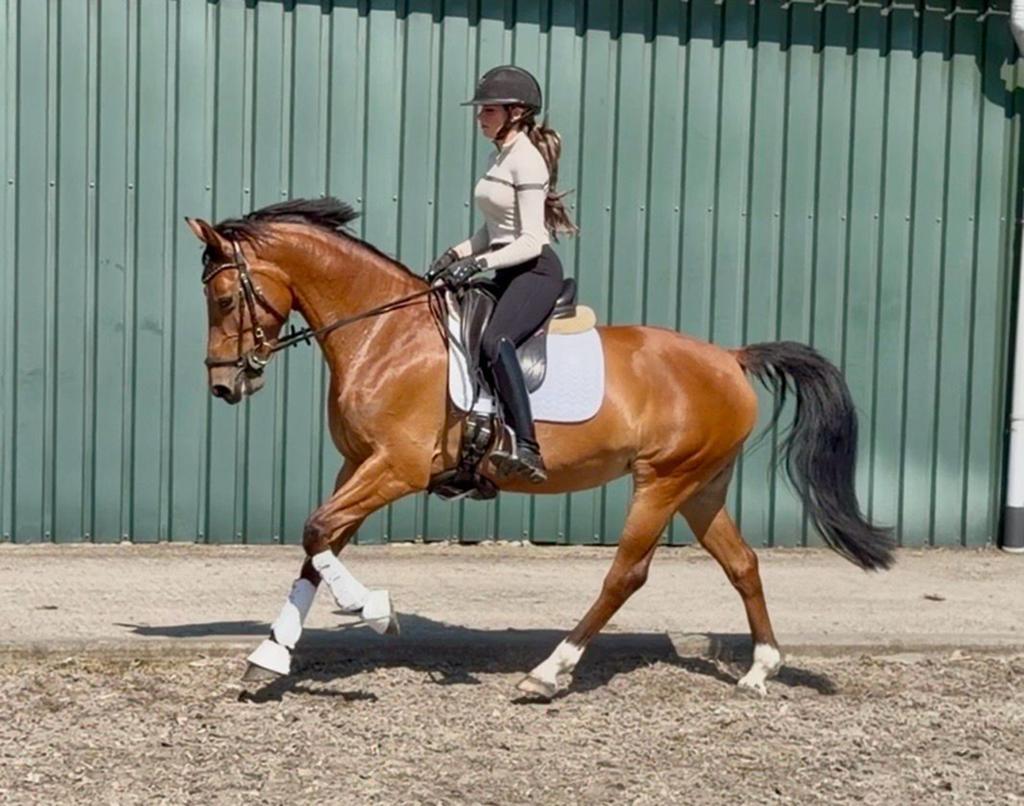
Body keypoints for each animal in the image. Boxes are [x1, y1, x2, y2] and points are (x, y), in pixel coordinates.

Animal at [186, 197, 893, 700]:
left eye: (222, 297)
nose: (223, 385)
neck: (385, 335)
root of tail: (731, 357)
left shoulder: (396, 468)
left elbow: (315, 532)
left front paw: (374, 611)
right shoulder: (357, 464)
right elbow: (318, 544)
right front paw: (269, 657)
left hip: (663, 480)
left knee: (626, 573)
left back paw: (549, 672)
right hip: (701, 485)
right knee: (742, 563)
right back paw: (759, 670)